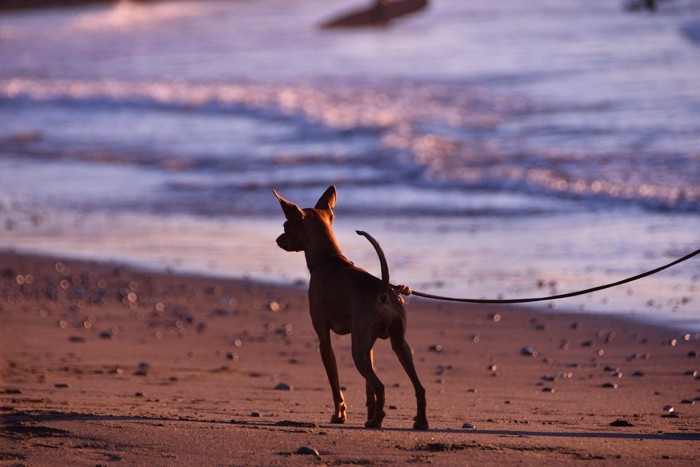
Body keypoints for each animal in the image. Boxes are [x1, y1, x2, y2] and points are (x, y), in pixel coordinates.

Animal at [272, 185, 426, 430]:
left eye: (286, 226)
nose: (278, 239)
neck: (328, 259)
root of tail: (383, 290)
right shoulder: (367, 345)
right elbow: (368, 390)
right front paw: (369, 413)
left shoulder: (324, 341)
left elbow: (336, 386)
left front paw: (339, 415)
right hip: (398, 345)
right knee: (418, 387)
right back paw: (417, 421)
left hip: (358, 353)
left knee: (381, 386)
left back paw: (377, 422)